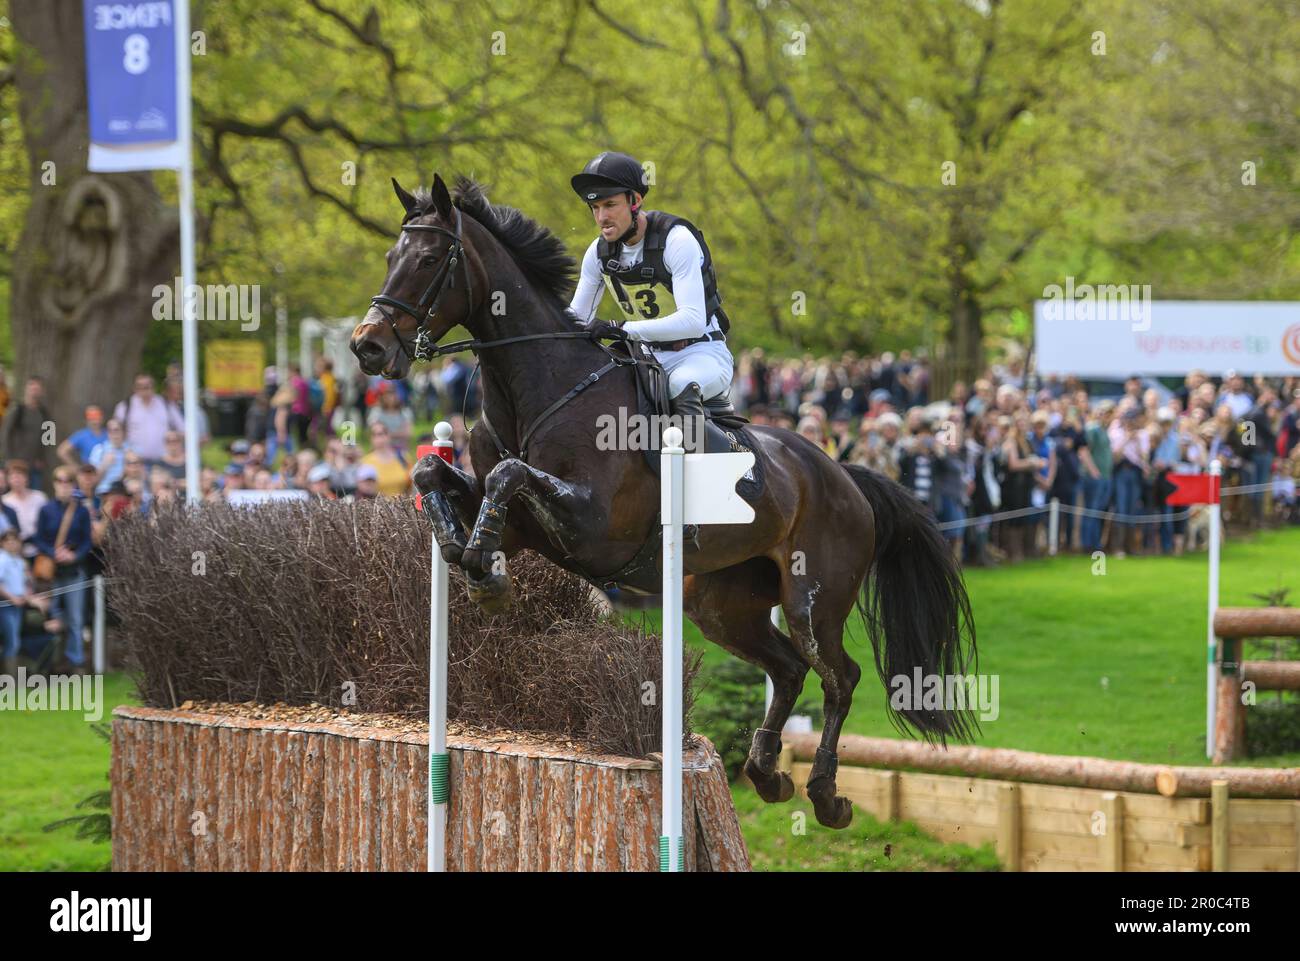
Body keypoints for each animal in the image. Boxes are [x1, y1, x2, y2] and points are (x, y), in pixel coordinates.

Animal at [348, 174, 977, 827]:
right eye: (391, 256)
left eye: (427, 260)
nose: (367, 347)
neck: (536, 390)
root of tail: (845, 475)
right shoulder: (525, 527)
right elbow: (433, 472)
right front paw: (460, 550)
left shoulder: (596, 527)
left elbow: (508, 475)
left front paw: (486, 577)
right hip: (721, 604)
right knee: (788, 668)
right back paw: (765, 773)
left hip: (813, 599)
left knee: (838, 677)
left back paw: (826, 795)